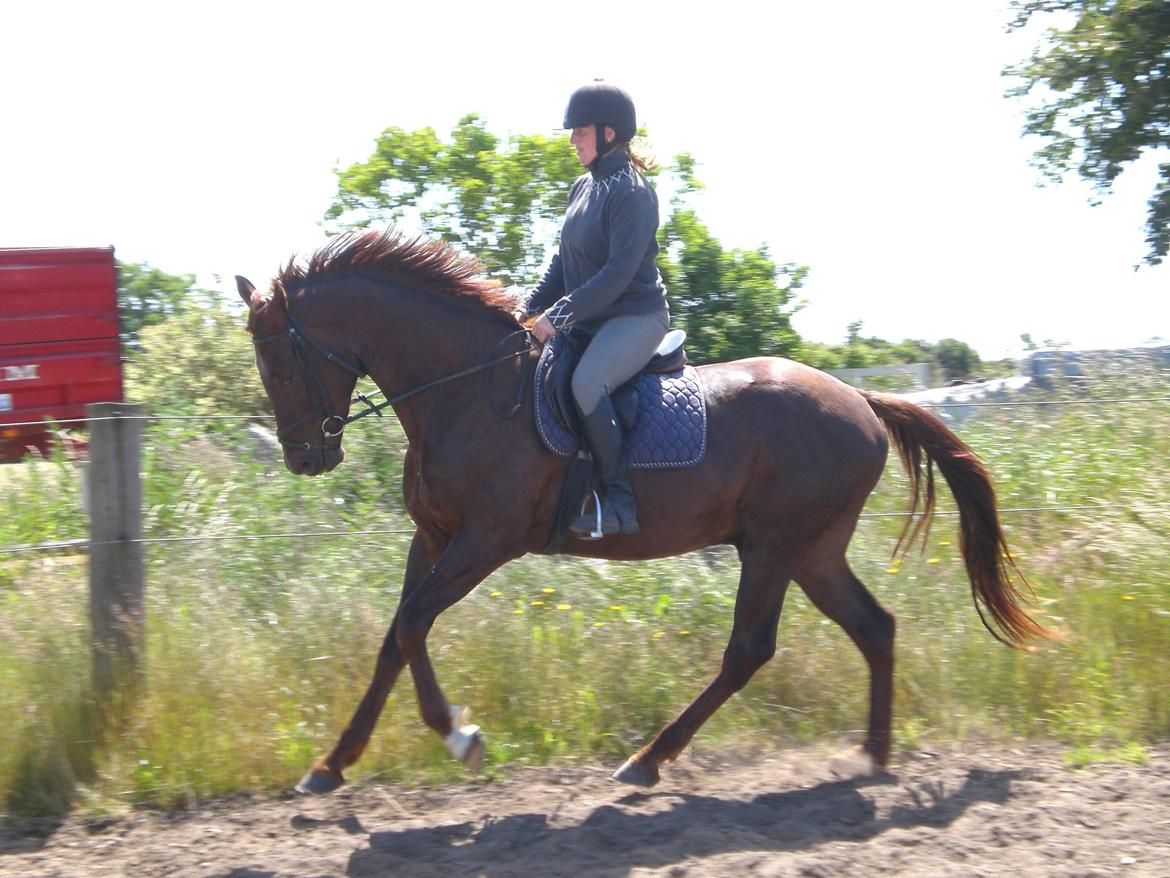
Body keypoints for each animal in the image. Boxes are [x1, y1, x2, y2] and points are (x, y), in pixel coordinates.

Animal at [235, 230, 1043, 796]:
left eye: (281, 368)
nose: (306, 458)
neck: (462, 389)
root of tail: (863, 400)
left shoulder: (486, 540)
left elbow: (411, 624)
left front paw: (459, 736)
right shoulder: (432, 538)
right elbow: (394, 638)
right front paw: (330, 765)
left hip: (777, 547)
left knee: (749, 650)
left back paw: (648, 760)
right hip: (813, 551)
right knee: (873, 627)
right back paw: (871, 755)